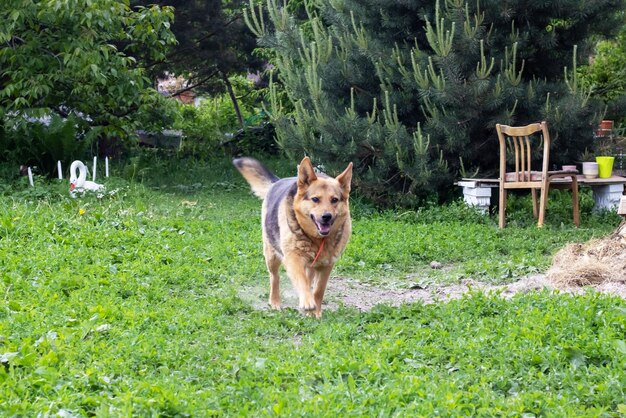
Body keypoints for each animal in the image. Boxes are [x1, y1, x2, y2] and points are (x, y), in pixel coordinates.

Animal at [234, 157, 352, 316]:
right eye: (315, 199)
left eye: (334, 200)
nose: (326, 217)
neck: (316, 239)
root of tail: (277, 181)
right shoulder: (293, 258)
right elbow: (302, 281)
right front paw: (307, 303)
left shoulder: (326, 265)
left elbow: (318, 290)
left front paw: (315, 311)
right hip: (271, 255)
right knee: (275, 278)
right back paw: (275, 302)